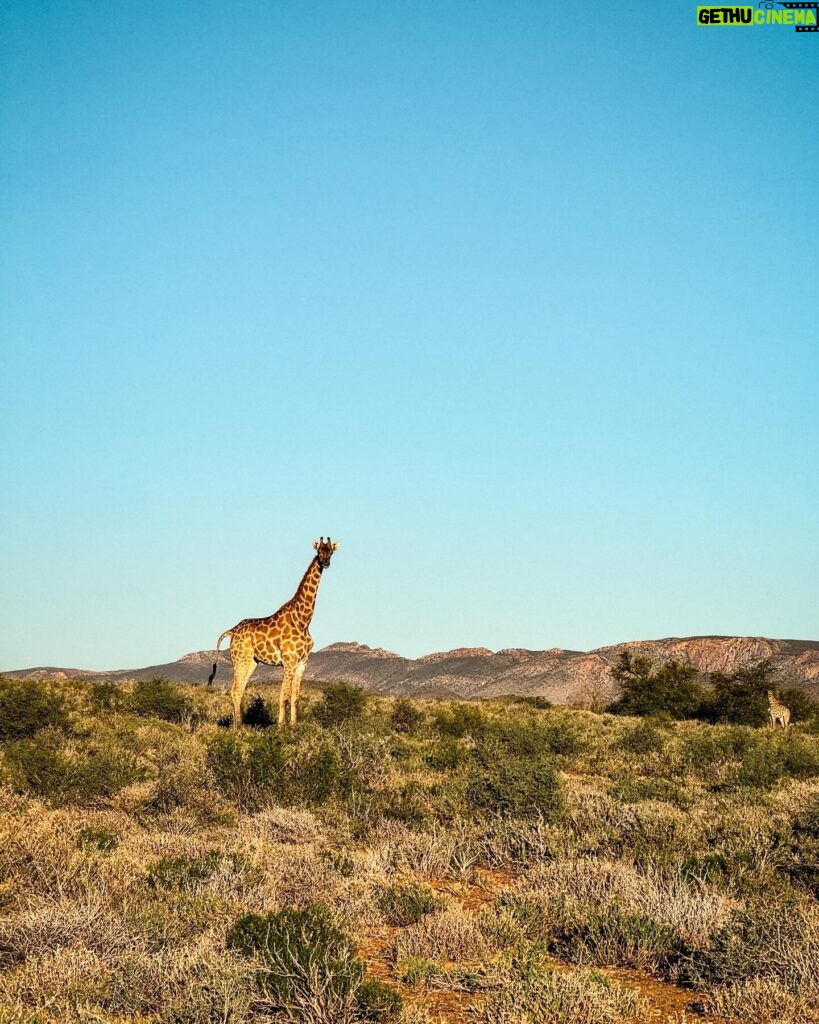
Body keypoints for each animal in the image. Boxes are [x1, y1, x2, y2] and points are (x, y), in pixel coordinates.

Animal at [210, 536, 341, 729]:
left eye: (331, 551)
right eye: (319, 552)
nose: (326, 562)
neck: (303, 620)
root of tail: (232, 631)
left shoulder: (302, 662)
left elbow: (295, 698)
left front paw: (293, 728)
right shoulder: (289, 661)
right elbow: (283, 697)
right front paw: (281, 729)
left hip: (252, 661)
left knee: (239, 690)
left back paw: (236, 727)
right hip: (241, 658)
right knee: (235, 690)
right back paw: (238, 729)